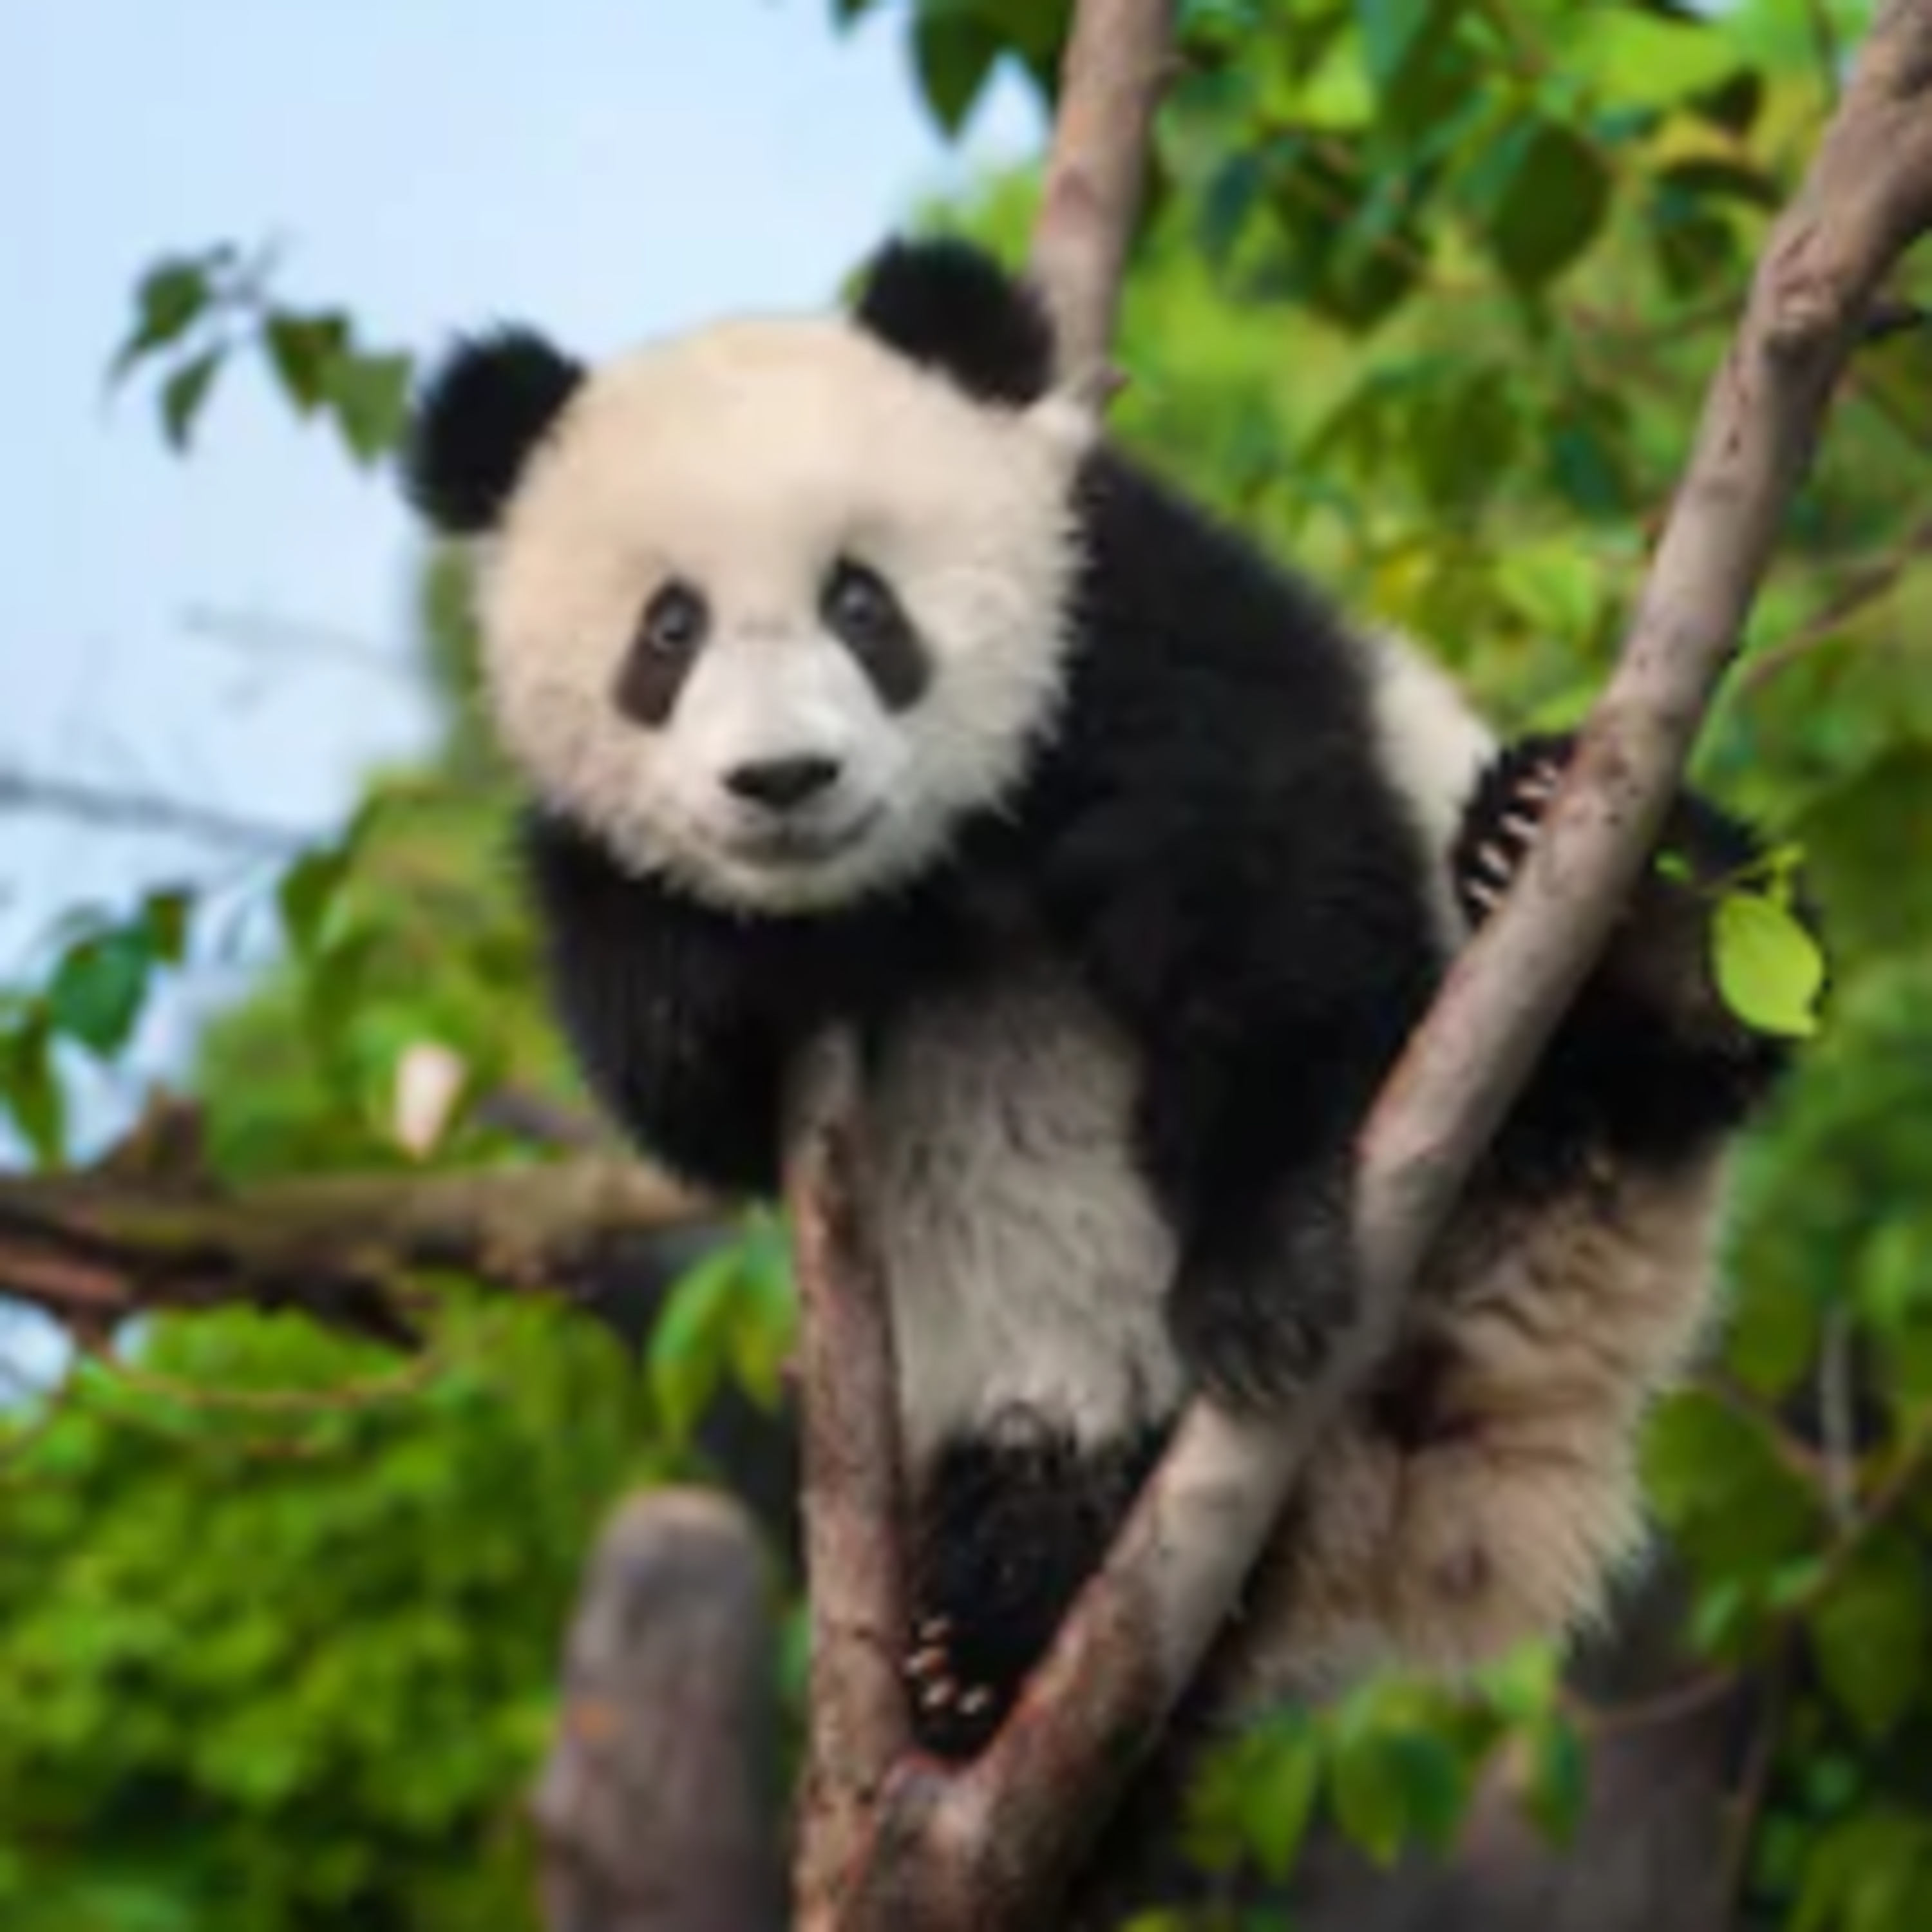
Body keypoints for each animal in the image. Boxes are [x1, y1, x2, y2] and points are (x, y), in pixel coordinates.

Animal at [403, 235, 1807, 1764]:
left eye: (860, 602)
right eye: (669, 630)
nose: (783, 781)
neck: (926, 871)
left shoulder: (1126, 628)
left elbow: (1275, 905)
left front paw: (1257, 1281)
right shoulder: (605, 872)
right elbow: (679, 1086)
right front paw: (710, 967)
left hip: (1537, 1066)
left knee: (1665, 1008)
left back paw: (1619, 910)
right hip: (1052, 1398)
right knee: (1049, 1487)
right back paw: (989, 1641)